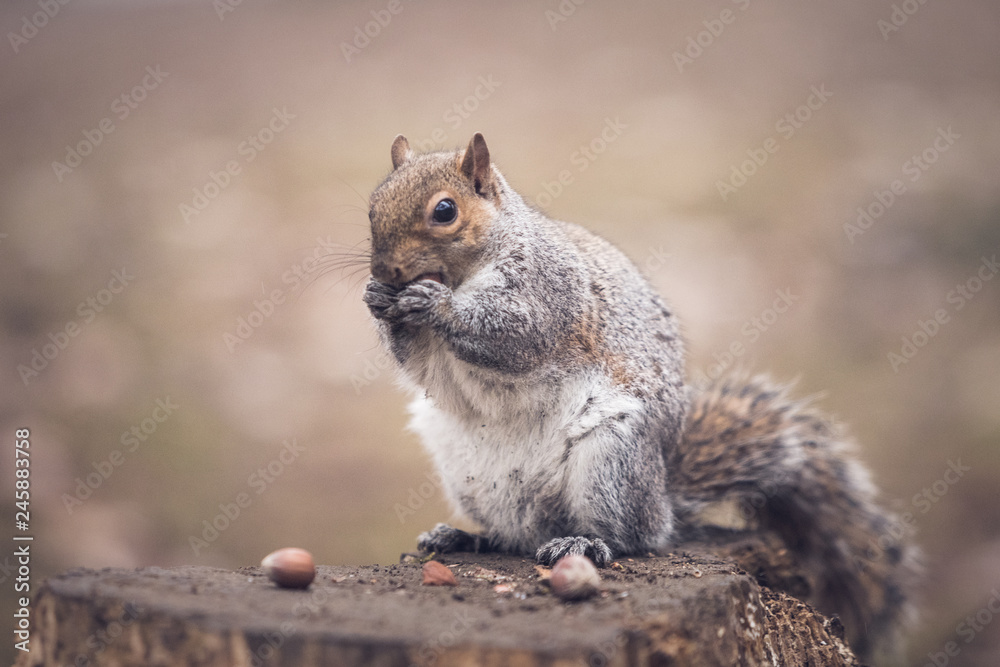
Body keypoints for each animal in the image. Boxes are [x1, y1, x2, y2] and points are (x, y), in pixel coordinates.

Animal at [362, 132, 918, 662]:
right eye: (372, 206)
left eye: (445, 211)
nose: (386, 272)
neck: (465, 270)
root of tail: (664, 500)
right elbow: (421, 363)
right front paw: (379, 300)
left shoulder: (549, 293)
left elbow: (513, 334)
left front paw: (434, 304)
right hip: (470, 473)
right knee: (516, 534)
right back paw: (465, 537)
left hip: (613, 456)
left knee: (633, 537)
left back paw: (587, 540)